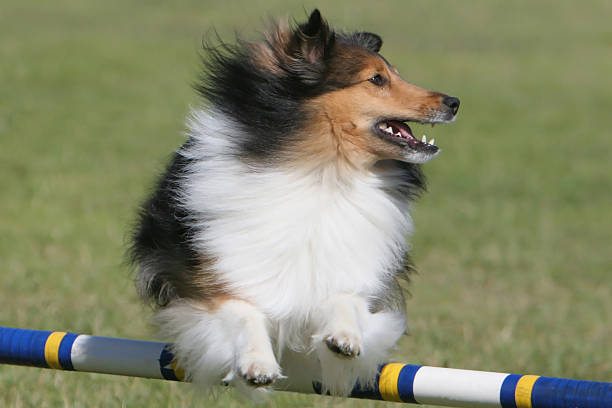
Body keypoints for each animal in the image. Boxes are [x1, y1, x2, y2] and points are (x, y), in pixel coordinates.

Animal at [129, 9, 460, 396]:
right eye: (377, 79)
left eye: (394, 73)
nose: (454, 102)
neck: (324, 172)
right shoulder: (208, 281)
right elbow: (243, 310)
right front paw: (257, 363)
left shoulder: (351, 267)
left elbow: (346, 297)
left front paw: (343, 336)